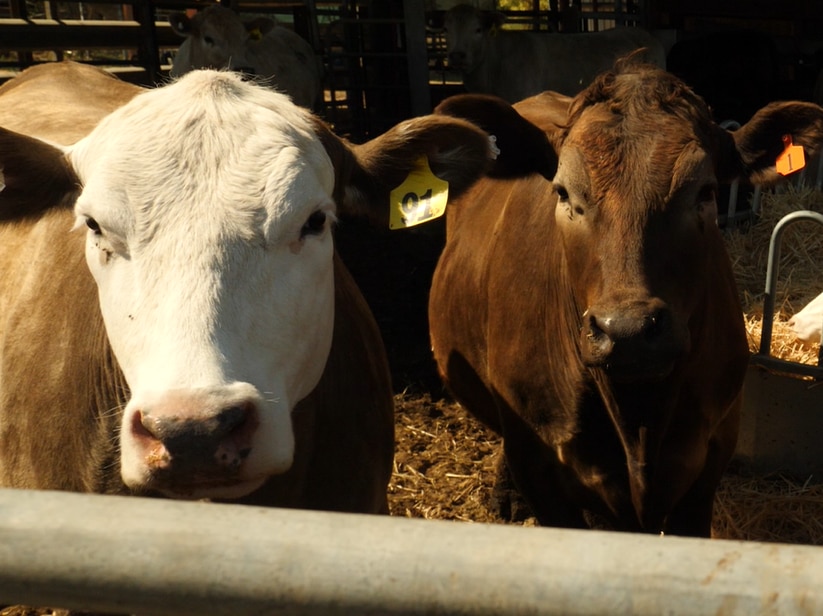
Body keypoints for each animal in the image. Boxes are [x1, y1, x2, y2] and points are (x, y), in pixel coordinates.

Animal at [432, 59, 823, 540]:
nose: (628, 330)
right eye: (563, 192)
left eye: (706, 192)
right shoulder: (538, 467)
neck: (639, 422)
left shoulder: (711, 454)